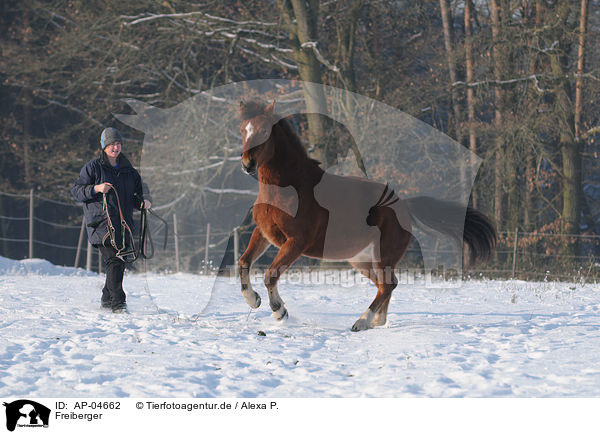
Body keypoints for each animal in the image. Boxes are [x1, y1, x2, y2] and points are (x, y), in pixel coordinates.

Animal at [237, 101, 494, 332]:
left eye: (263, 131)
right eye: (243, 131)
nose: (247, 165)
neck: (288, 188)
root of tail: (404, 206)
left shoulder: (296, 243)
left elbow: (270, 275)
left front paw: (279, 311)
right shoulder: (264, 233)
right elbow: (244, 262)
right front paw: (253, 300)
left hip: (382, 256)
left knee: (387, 285)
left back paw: (362, 322)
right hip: (362, 260)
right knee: (386, 285)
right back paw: (376, 321)